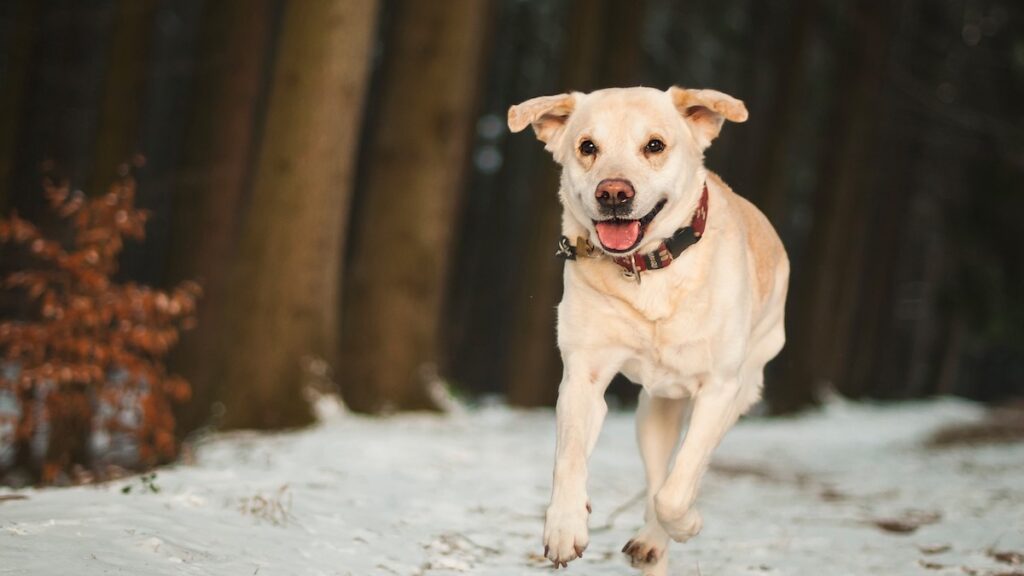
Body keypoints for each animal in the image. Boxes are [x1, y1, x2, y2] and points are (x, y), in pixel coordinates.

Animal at [507, 86, 786, 573]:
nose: (613, 193)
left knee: (678, 476)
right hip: (653, 412)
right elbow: (569, 457)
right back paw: (652, 545)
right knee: (658, 473)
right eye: (587, 147)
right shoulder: (582, 378)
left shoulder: (718, 388)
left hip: (743, 386)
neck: (648, 268)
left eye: (654, 145)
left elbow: (677, 489)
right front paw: (564, 525)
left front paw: (687, 523)